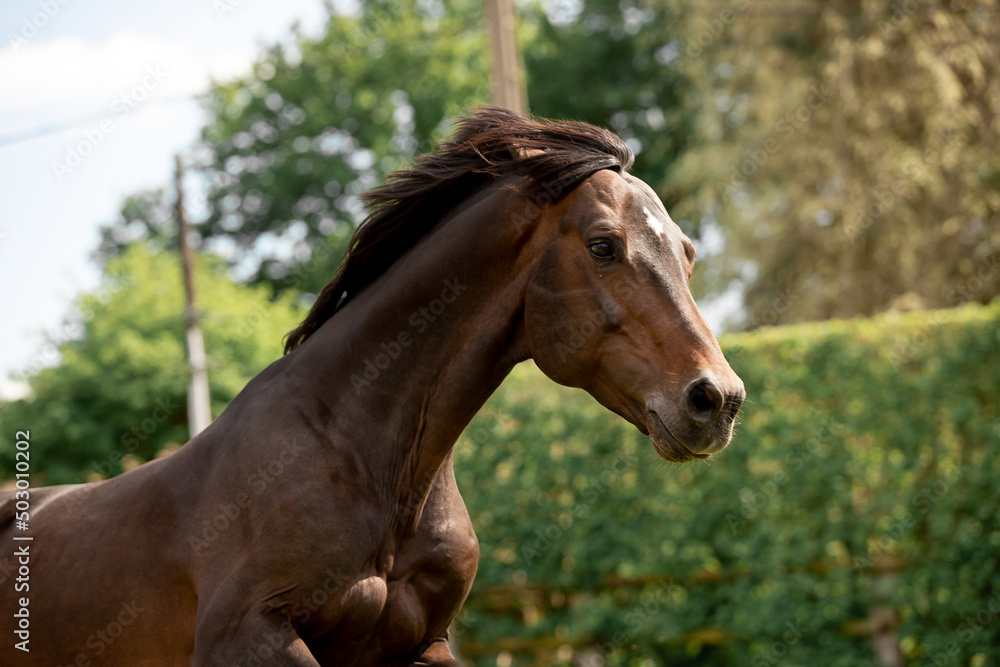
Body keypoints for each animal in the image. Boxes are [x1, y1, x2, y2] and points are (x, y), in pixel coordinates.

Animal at [0, 107, 744, 664]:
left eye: (687, 253)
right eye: (602, 245)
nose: (716, 399)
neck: (368, 462)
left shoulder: (420, 643)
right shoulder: (247, 635)